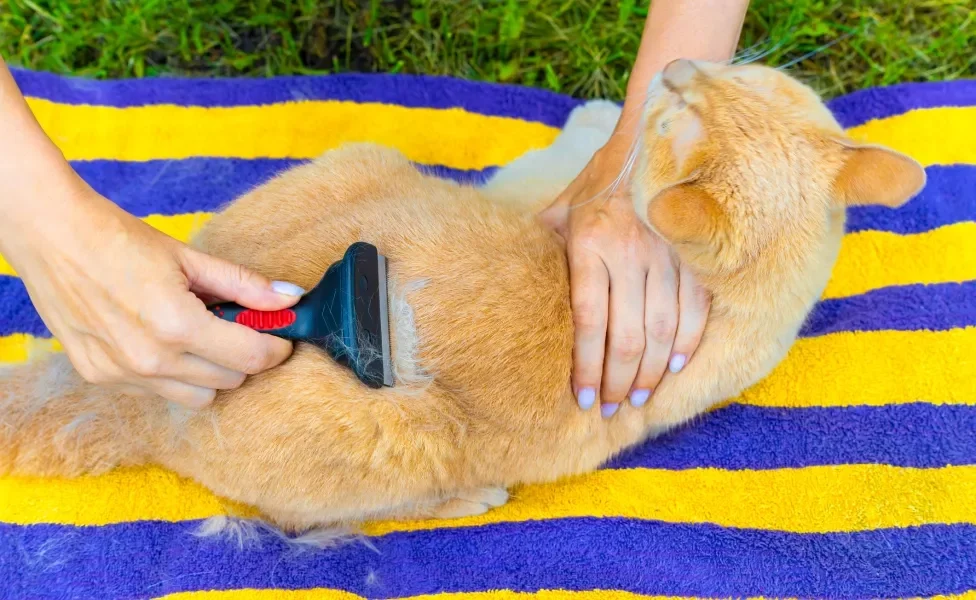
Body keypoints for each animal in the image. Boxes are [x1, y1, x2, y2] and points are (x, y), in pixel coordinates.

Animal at [0, 59, 924, 536]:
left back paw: (470, 498)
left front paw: (599, 117)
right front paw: (601, 114)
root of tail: (144, 404)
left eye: (676, 115)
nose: (672, 65)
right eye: (750, 76)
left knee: (307, 519)